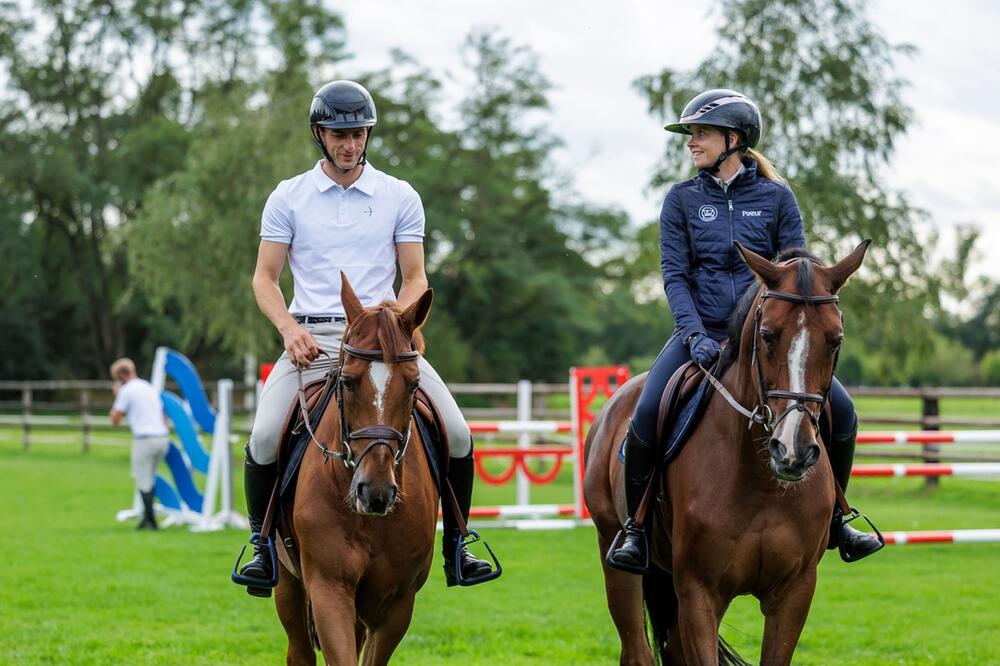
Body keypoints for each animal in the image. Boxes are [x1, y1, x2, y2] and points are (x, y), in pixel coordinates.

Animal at [278, 274, 442, 664]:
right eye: (348, 382)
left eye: (414, 383)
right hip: (287, 584)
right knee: (299, 651)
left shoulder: (397, 603)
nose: (376, 492)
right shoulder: (329, 589)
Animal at [584, 240, 872, 664]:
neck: (760, 484)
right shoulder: (699, 594)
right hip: (616, 557)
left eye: (835, 339)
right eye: (767, 335)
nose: (792, 450)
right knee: (636, 650)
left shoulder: (795, 593)